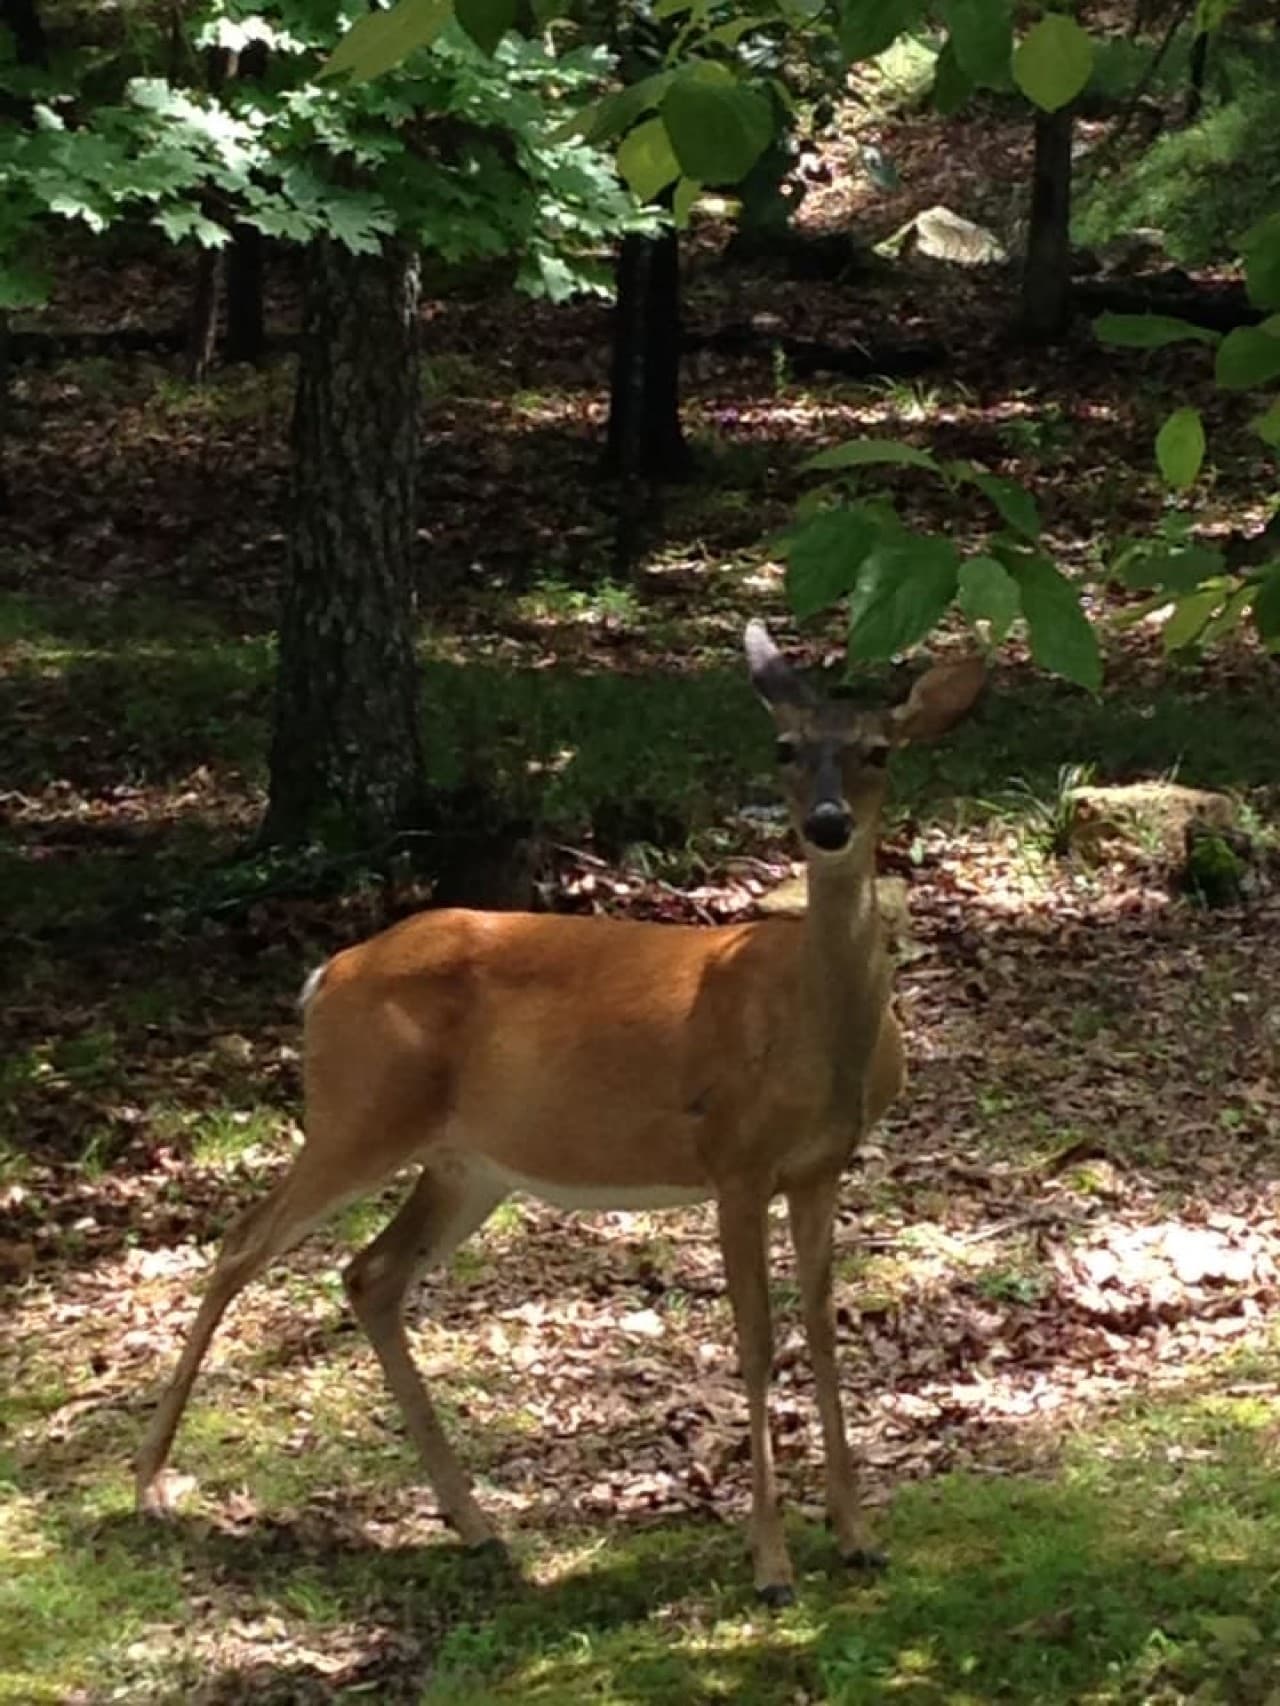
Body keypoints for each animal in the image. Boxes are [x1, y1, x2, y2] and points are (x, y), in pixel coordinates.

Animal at [135, 621, 984, 1605]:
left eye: (878, 751)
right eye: (784, 748)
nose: (829, 823)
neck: (815, 1026)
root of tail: (326, 976)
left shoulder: (821, 1167)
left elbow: (820, 1334)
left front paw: (856, 1538)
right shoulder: (733, 1158)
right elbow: (756, 1340)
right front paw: (772, 1567)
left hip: (465, 1163)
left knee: (370, 1273)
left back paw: (477, 1526)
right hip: (357, 1110)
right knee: (242, 1243)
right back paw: (149, 1486)